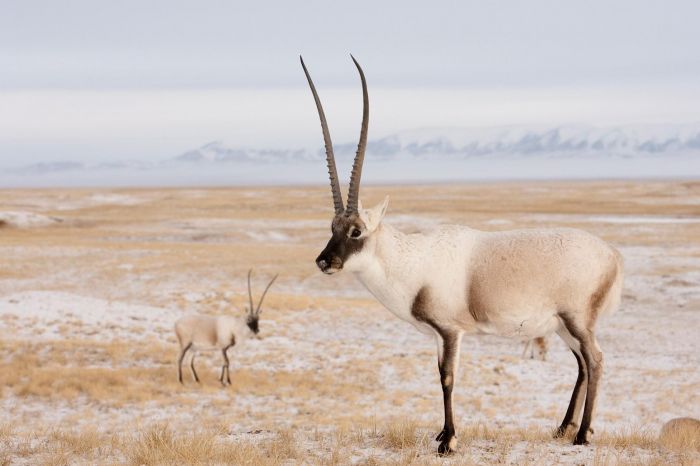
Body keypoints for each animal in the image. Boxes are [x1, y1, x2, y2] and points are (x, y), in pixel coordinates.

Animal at [300, 55, 624, 456]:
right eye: (332, 227)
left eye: (356, 231)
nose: (324, 262)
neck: (411, 260)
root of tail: (613, 255)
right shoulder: (438, 335)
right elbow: (439, 375)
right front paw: (441, 433)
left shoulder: (451, 330)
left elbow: (448, 377)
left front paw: (449, 441)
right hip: (564, 326)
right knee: (582, 363)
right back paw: (563, 428)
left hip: (576, 319)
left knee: (595, 360)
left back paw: (582, 435)